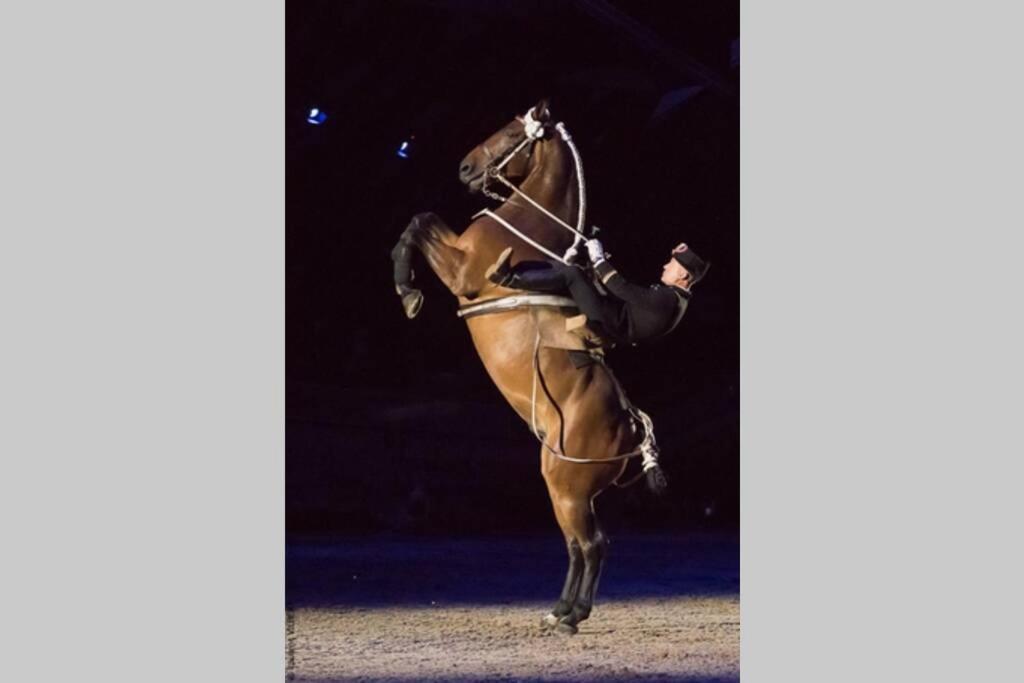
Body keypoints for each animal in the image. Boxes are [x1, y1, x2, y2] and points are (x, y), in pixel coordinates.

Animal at [387, 98, 651, 634]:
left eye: (511, 134)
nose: (466, 168)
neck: (531, 229)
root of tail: (633, 432)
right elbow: (420, 219)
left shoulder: (462, 271)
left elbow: (420, 222)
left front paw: (407, 292)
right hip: (563, 485)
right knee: (579, 544)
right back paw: (560, 611)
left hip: (568, 486)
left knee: (590, 544)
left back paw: (572, 616)